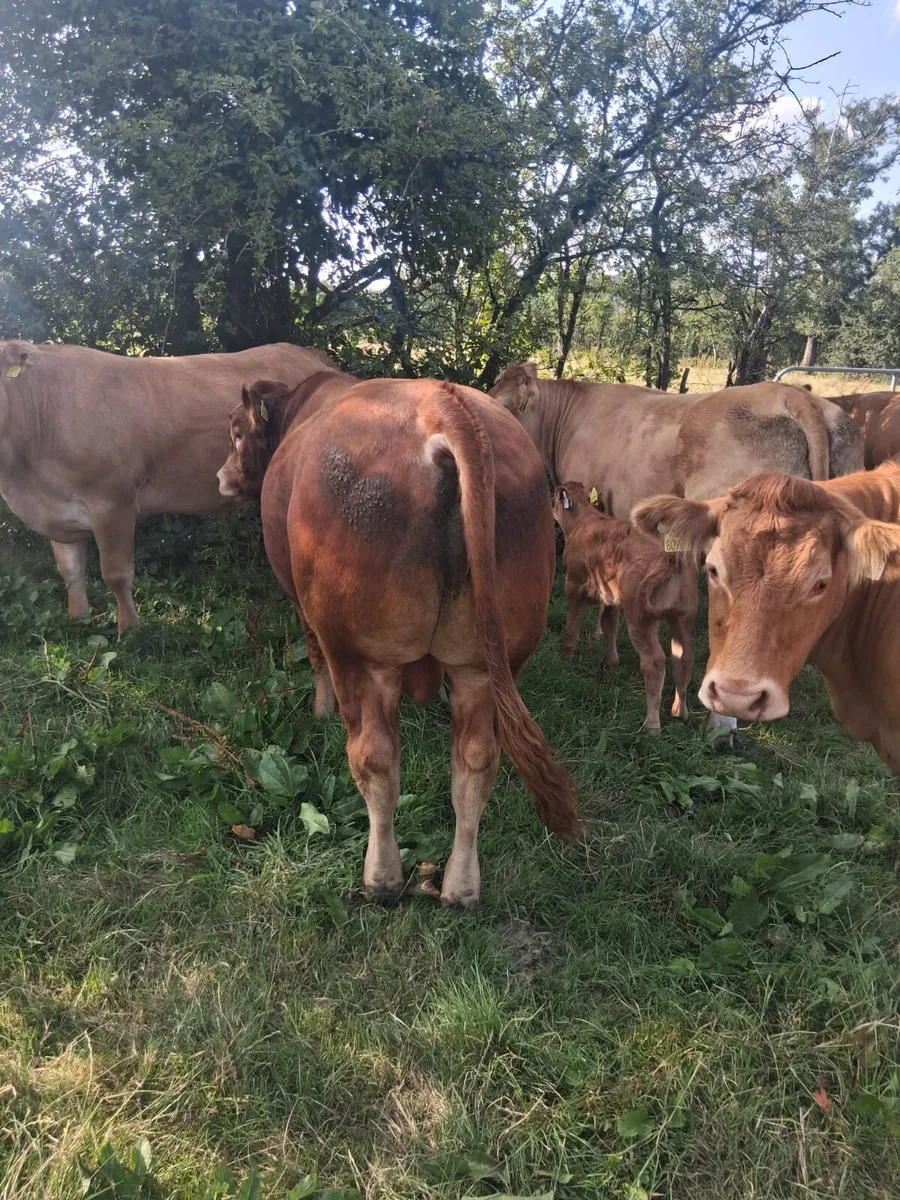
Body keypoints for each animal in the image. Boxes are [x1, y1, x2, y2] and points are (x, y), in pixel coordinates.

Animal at [0, 339, 335, 632]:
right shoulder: (59, 510)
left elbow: (116, 574)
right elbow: (70, 571)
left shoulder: (113, 502)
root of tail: (308, 353)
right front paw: (78, 618)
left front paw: (129, 631)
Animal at [216, 371, 583, 908]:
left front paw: (320, 712)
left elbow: (315, 660)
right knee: (476, 760)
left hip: (363, 653)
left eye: (237, 431)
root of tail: (439, 404)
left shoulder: (307, 613)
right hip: (487, 663)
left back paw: (381, 878)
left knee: (375, 758)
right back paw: (460, 886)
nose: (221, 477)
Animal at [551, 481, 698, 734]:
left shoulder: (574, 586)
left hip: (640, 618)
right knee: (683, 658)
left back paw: (652, 725)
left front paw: (565, 656)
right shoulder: (613, 599)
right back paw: (680, 711)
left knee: (654, 662)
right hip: (682, 617)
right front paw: (611, 662)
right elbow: (609, 626)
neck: (584, 520)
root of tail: (670, 555)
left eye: (554, 499)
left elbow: (573, 624)